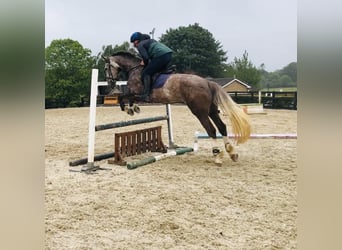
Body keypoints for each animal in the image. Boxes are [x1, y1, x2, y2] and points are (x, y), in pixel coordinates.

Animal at [102, 51, 251, 163]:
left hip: (199, 111)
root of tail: (207, 82)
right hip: (212, 111)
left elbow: (122, 98)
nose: (110, 83)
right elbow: (127, 99)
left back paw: (216, 155)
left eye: (106, 68)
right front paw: (134, 108)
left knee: (211, 130)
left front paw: (130, 109)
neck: (135, 69)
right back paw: (231, 153)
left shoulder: (136, 93)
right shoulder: (135, 95)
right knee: (222, 127)